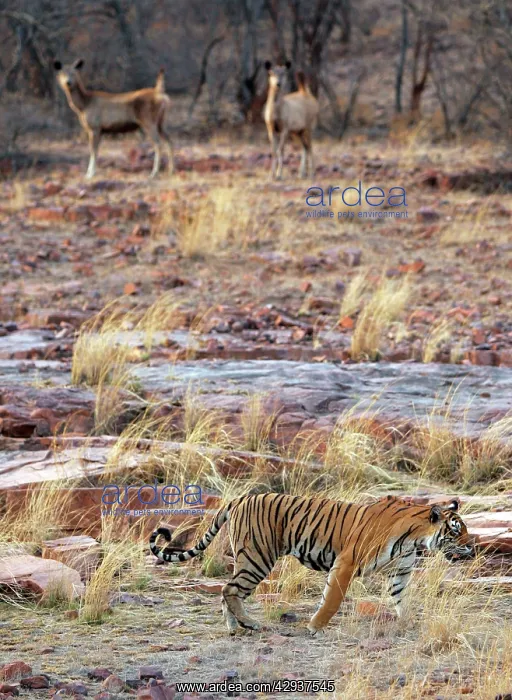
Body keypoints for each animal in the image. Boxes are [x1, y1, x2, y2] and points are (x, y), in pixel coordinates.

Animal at [149, 493, 474, 635]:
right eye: (456, 530)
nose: (472, 547)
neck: (415, 539)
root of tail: (240, 497)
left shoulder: (400, 572)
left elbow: (402, 601)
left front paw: (409, 623)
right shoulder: (346, 562)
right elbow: (332, 600)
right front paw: (315, 627)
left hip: (250, 559)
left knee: (226, 592)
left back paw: (235, 627)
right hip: (258, 557)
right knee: (229, 590)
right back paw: (249, 623)